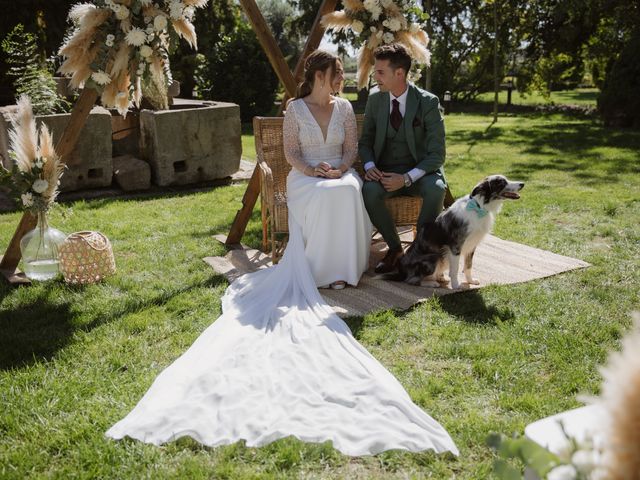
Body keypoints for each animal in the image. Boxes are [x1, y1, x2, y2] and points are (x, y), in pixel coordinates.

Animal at [384, 176, 524, 288]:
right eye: (502, 183)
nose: (522, 184)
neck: (479, 208)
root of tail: (401, 271)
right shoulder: (456, 246)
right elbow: (456, 269)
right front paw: (456, 285)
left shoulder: (471, 246)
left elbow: (468, 266)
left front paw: (470, 281)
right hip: (434, 256)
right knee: (411, 280)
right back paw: (431, 283)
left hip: (444, 257)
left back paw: (440, 278)